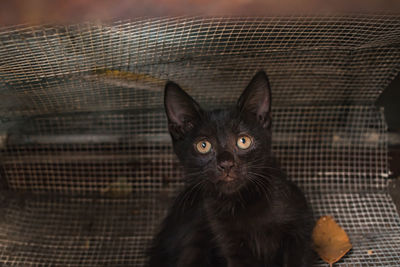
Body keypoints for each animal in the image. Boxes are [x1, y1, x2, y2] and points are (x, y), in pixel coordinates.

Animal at [148, 71, 314, 267]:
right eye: (203, 145)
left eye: (244, 141)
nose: (226, 163)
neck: (244, 203)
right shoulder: (229, 243)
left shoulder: (299, 231)